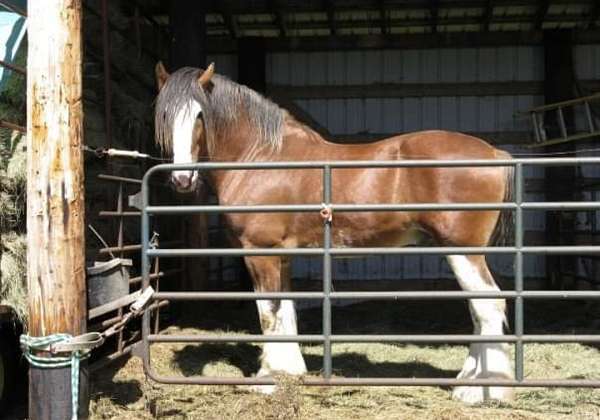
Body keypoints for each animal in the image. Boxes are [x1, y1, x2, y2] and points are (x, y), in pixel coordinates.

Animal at [152, 62, 512, 404]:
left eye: (200, 114)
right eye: (166, 114)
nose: (182, 179)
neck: (262, 157)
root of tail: (495, 153)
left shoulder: (260, 252)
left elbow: (268, 314)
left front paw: (267, 379)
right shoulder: (283, 255)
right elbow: (286, 311)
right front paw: (291, 371)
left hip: (462, 250)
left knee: (489, 305)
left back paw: (481, 390)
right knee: (479, 310)